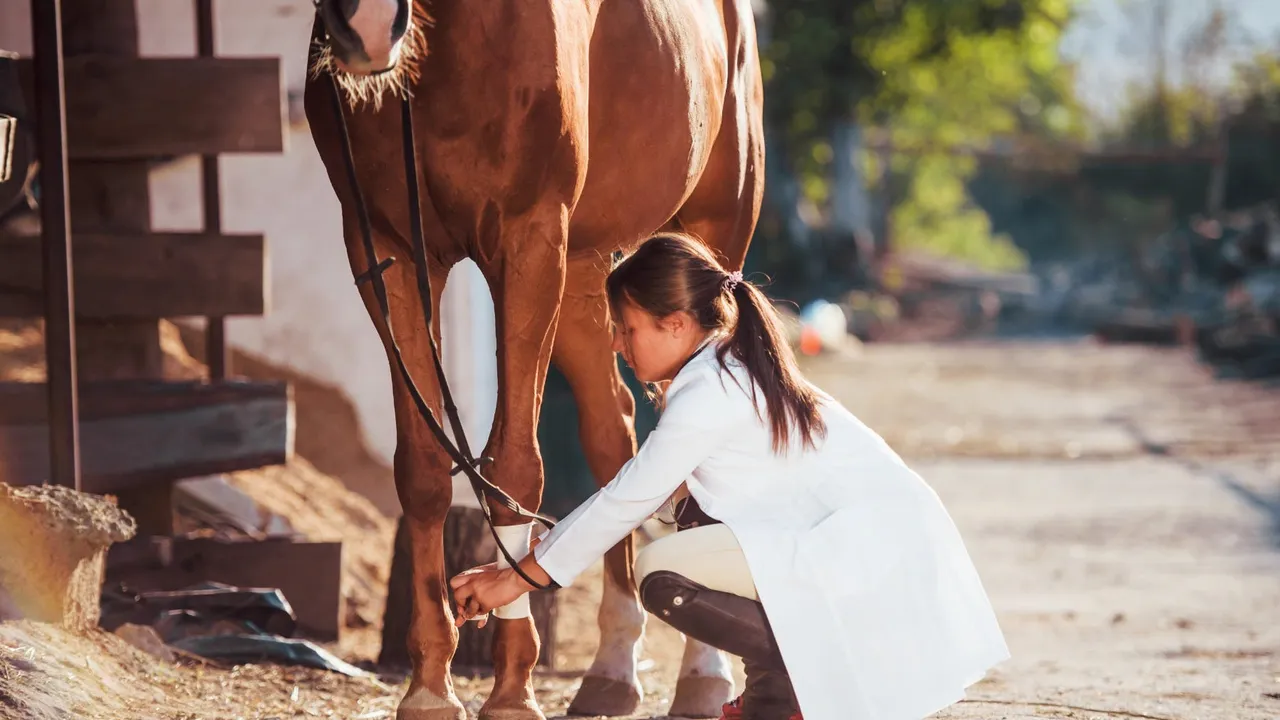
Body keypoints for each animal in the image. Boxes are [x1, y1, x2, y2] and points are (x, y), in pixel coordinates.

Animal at [303, 1, 765, 718]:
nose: (368, 26)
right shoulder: (385, 247)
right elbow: (424, 471)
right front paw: (431, 684)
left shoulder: (531, 240)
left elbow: (515, 469)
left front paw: (513, 687)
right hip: (587, 273)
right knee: (613, 431)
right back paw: (613, 667)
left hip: (707, 231)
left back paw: (703, 673)